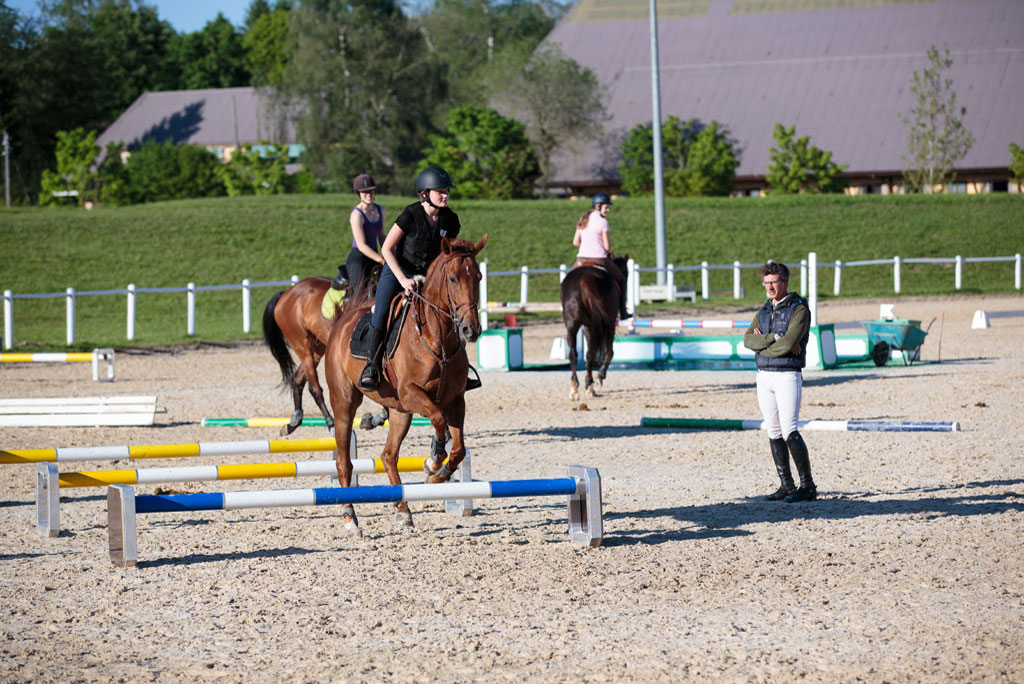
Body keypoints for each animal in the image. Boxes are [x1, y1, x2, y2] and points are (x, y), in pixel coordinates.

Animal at [327, 233, 487, 532]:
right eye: (452, 278)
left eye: (479, 277)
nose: (470, 330)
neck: (439, 338)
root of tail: (343, 321)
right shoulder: (412, 392)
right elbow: (438, 420)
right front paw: (433, 462)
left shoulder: (455, 400)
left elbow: (458, 449)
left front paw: (437, 475)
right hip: (344, 403)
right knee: (344, 462)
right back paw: (350, 516)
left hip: (400, 411)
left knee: (388, 456)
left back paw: (403, 509)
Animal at [557, 254, 626, 401]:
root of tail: (585, 278)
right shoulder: (602, 325)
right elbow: (607, 352)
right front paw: (599, 377)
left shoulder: (587, 326)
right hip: (602, 324)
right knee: (599, 353)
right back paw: (593, 382)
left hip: (572, 325)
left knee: (574, 354)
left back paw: (574, 388)